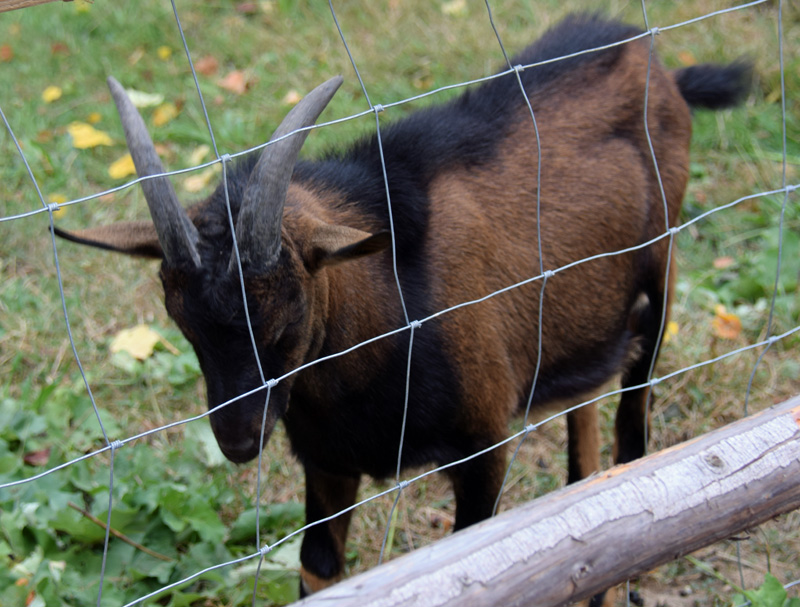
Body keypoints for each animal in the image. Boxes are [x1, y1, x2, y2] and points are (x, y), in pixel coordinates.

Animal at [56, 13, 752, 600]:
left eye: (285, 320)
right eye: (183, 325)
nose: (238, 441)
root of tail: (657, 64)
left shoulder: (483, 444)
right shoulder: (328, 461)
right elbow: (318, 568)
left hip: (662, 275)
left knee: (631, 433)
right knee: (586, 444)